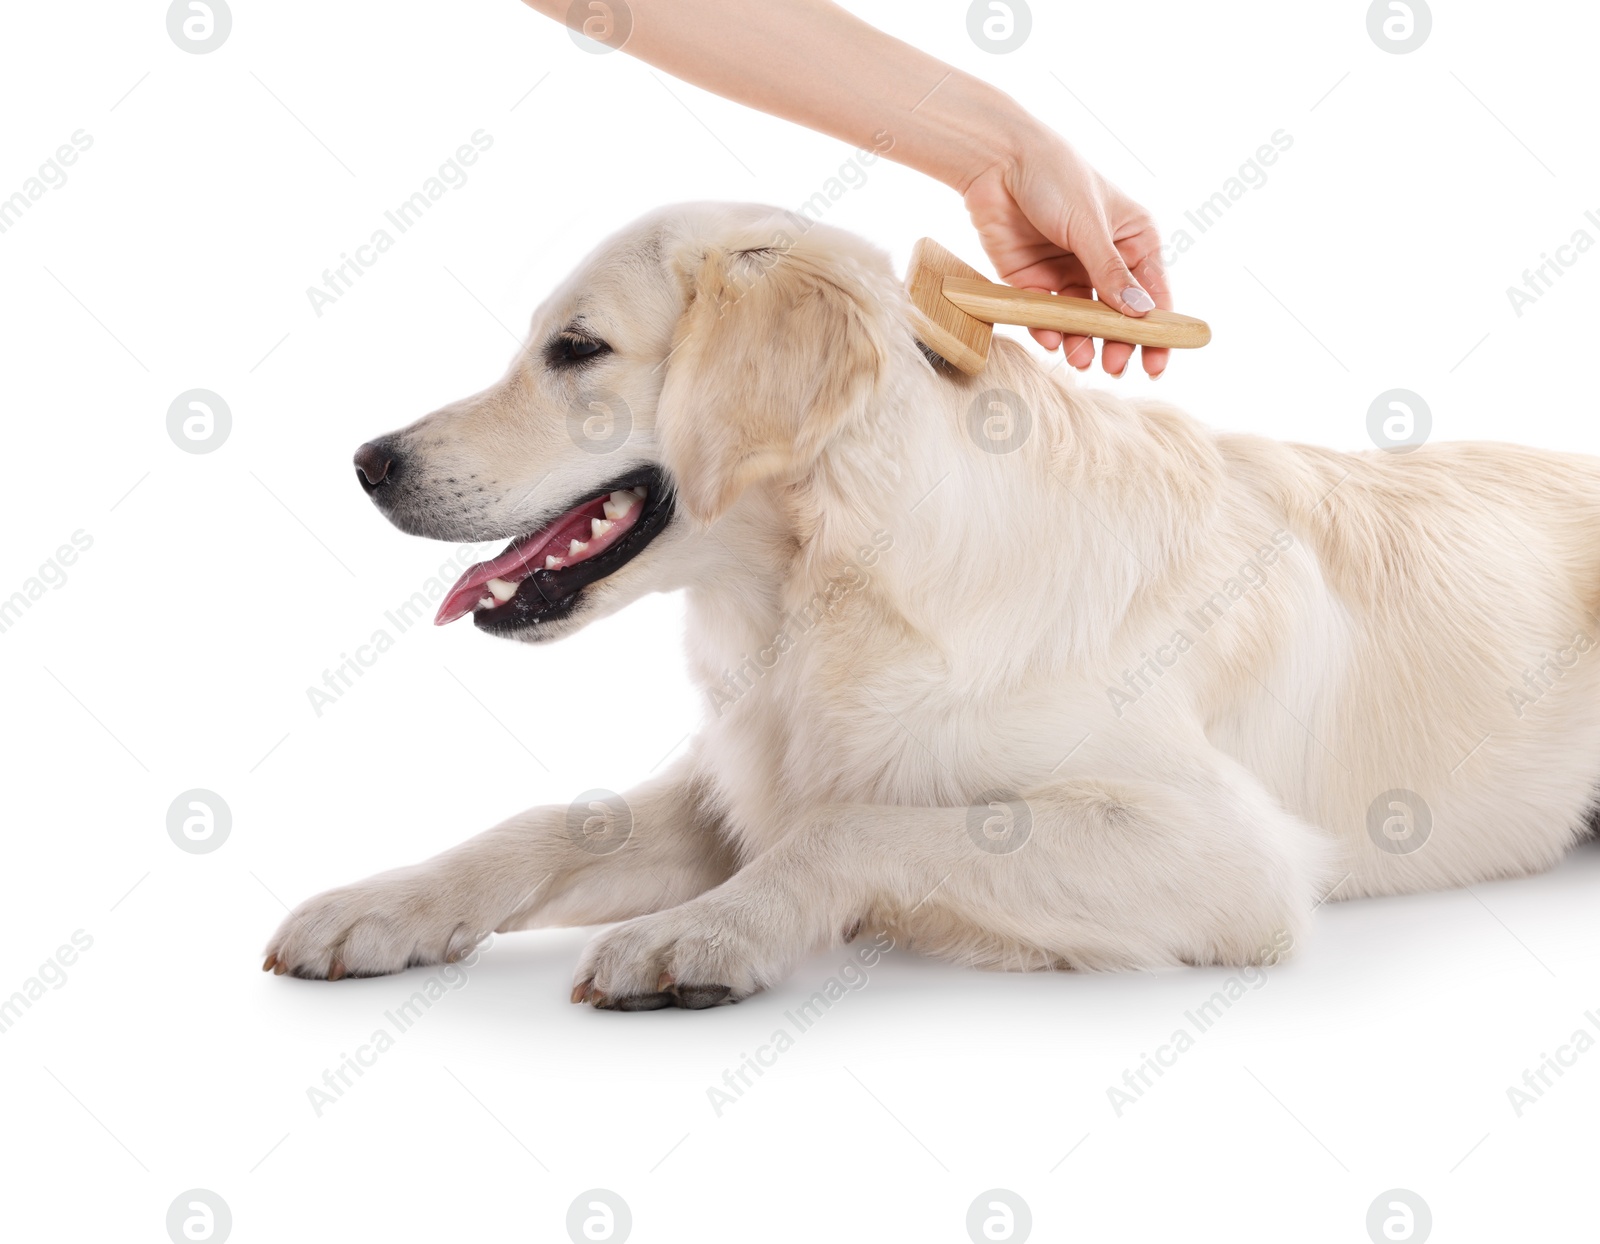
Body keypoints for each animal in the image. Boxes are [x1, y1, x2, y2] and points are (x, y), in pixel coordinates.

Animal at [265, 199, 1600, 1004]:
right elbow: (550, 823)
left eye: (576, 349)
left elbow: (859, 826)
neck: (830, 591)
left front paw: (708, 933)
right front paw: (379, 906)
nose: (369, 461)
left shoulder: (1227, 853)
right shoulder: (739, 772)